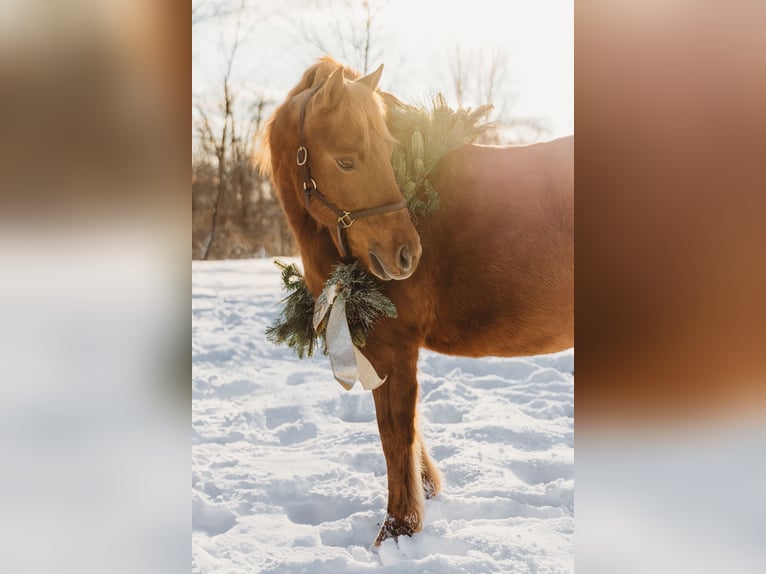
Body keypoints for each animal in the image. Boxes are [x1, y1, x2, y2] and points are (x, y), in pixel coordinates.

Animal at [258, 56, 573, 546]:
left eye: (387, 151)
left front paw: (398, 528)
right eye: (346, 160)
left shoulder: (394, 346)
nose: (406, 254)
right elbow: (407, 432)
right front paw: (425, 493)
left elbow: (395, 433)